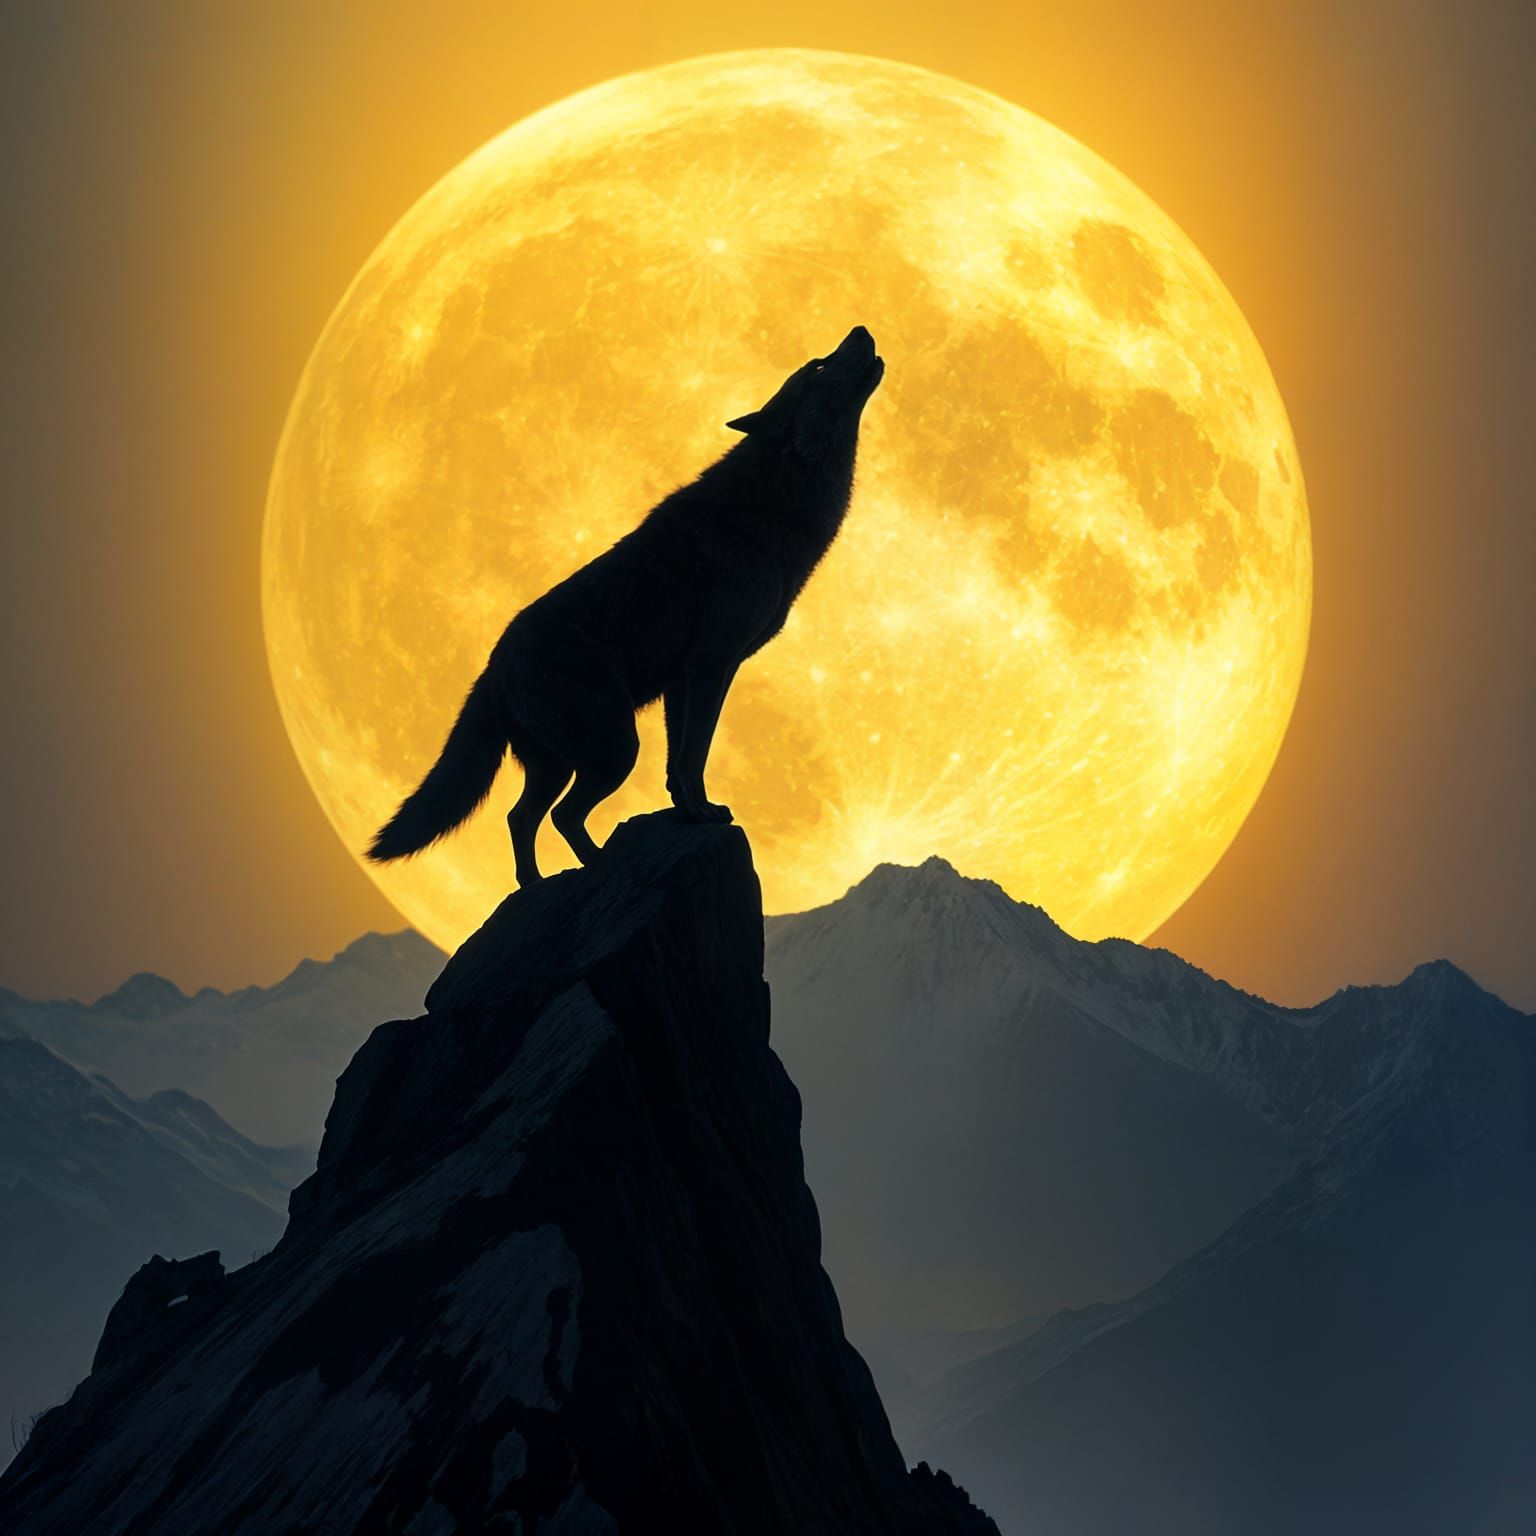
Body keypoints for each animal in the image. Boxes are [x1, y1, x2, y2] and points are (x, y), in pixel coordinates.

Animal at [368, 325, 884, 885]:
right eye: (817, 366)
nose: (860, 330)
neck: (773, 501)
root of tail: (493, 666)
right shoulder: (710, 667)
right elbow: (694, 756)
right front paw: (701, 813)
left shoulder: (683, 680)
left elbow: (678, 765)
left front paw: (689, 812)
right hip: (615, 749)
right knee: (560, 815)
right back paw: (599, 868)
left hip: (565, 763)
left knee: (520, 817)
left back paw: (536, 884)